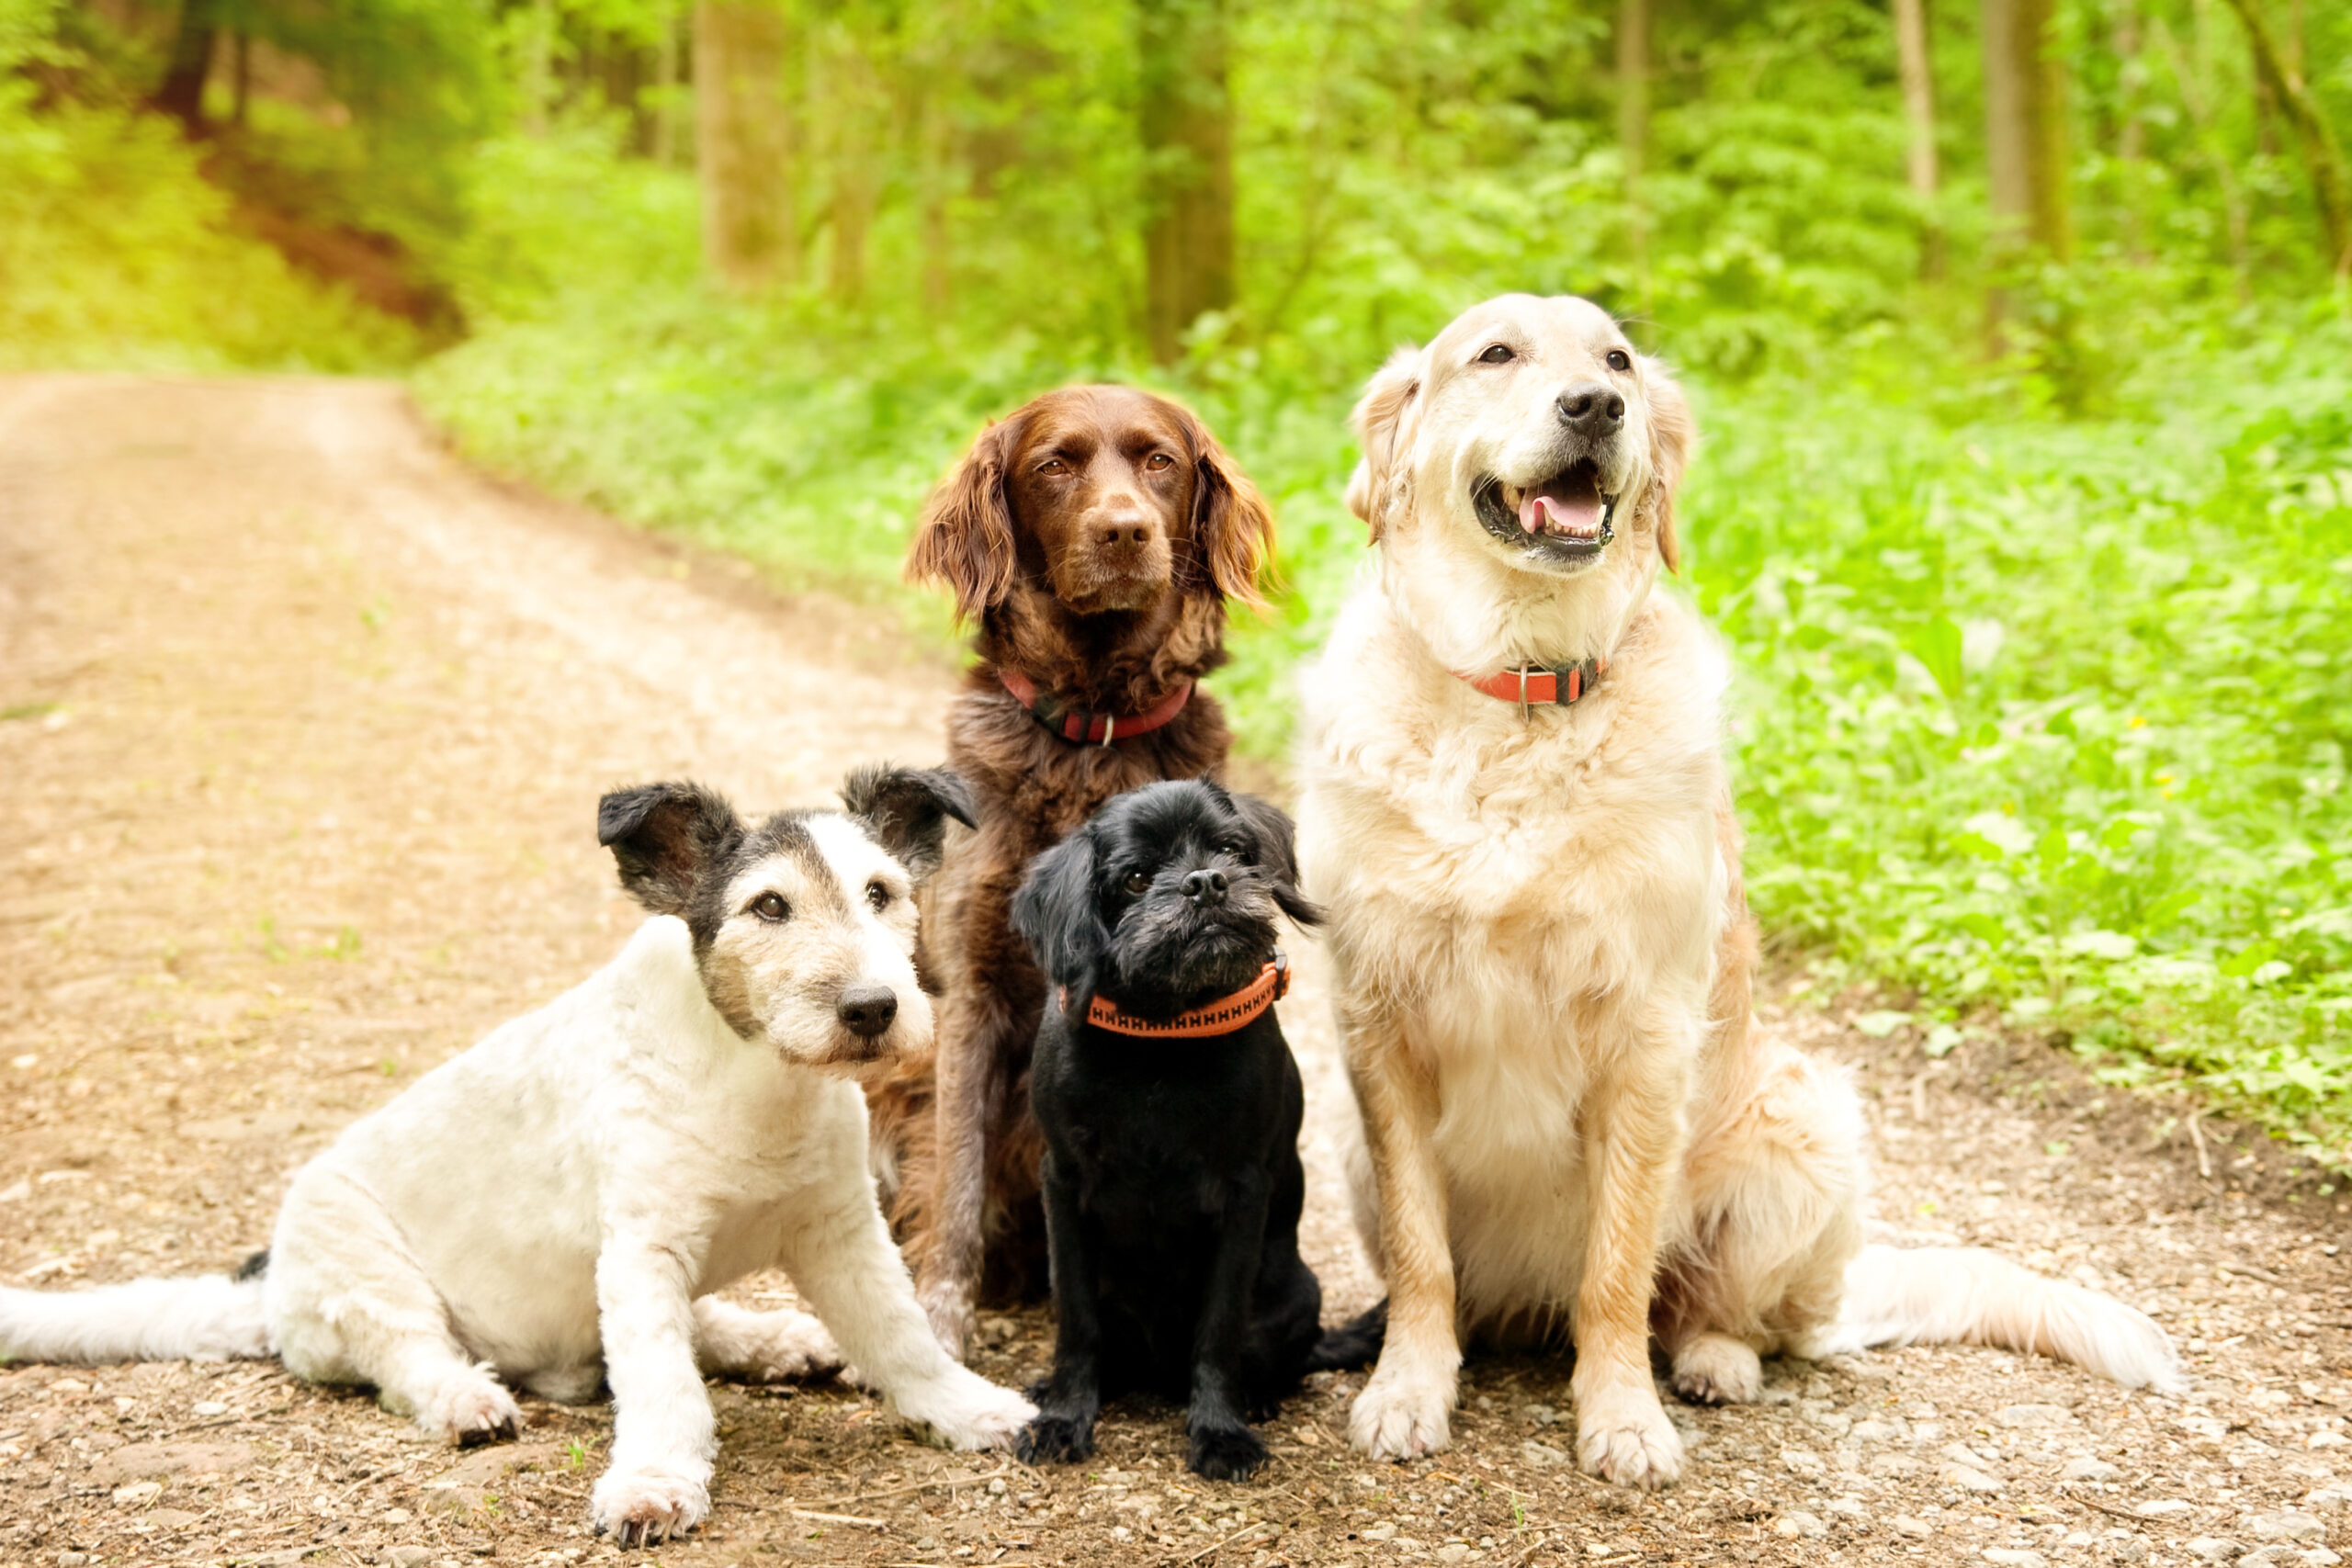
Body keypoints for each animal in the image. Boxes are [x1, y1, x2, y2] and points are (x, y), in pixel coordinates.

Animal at [0, 766, 1035, 1541]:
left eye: (882, 893)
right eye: (768, 906)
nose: (872, 1009)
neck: (755, 1080)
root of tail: (266, 1287)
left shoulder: (841, 1231)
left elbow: (903, 1339)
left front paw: (971, 1410)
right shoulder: (644, 1251)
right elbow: (663, 1386)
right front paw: (655, 1483)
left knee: (675, 1333)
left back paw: (777, 1339)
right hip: (363, 1265)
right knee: (411, 1356)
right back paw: (469, 1399)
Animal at [865, 385, 1279, 1354]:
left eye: (1159, 460)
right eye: (1055, 464)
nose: (1124, 531)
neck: (1095, 728)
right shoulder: (969, 989)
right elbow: (959, 1178)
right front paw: (943, 1324)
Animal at [1006, 784, 1374, 1485]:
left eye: (1231, 848)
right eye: (1136, 878)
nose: (1205, 881)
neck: (1162, 1037)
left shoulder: (1241, 1195)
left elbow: (1219, 1327)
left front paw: (1220, 1431)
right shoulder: (1062, 1182)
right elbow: (1076, 1318)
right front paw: (1065, 1416)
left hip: (1298, 1293)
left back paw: (1255, 1397)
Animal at [1288, 297, 2182, 1495]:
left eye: (1616, 360)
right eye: (1495, 354)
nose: (1596, 407)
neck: (1522, 690)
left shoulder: (1647, 1032)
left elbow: (1617, 1269)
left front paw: (1622, 1417)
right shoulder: (1378, 1025)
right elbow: (1424, 1256)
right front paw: (1408, 1387)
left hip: (1805, 1120)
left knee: (1728, 1314)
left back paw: (1714, 1362)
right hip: (1349, 1141)